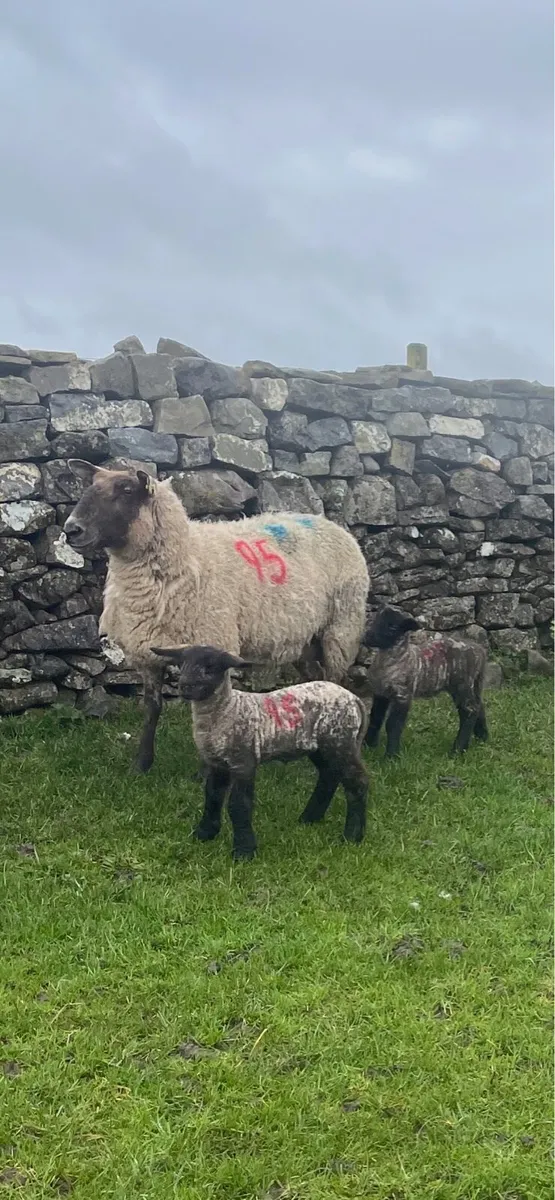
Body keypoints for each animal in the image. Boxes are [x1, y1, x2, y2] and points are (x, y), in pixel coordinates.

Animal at [64, 463, 370, 774]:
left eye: (126, 490)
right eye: (90, 486)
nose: (71, 529)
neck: (184, 560)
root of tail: (329, 523)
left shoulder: (212, 644)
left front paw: (207, 770)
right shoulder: (146, 654)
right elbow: (152, 708)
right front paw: (141, 765)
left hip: (341, 627)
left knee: (335, 677)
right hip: (304, 638)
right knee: (314, 677)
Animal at [151, 643, 369, 860]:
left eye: (211, 667)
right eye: (182, 664)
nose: (185, 686)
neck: (226, 710)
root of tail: (354, 699)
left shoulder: (243, 761)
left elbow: (239, 804)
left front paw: (244, 851)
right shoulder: (217, 762)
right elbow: (212, 796)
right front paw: (204, 834)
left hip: (340, 741)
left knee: (357, 783)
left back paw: (352, 835)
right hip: (321, 747)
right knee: (329, 775)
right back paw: (309, 818)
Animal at [361, 605, 488, 757]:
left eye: (392, 627)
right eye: (376, 619)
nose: (367, 637)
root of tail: (480, 651)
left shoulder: (403, 695)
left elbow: (393, 724)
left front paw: (391, 756)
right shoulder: (381, 693)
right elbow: (375, 719)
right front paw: (368, 746)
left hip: (462, 684)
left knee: (470, 711)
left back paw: (458, 750)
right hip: (471, 684)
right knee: (479, 706)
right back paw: (482, 738)